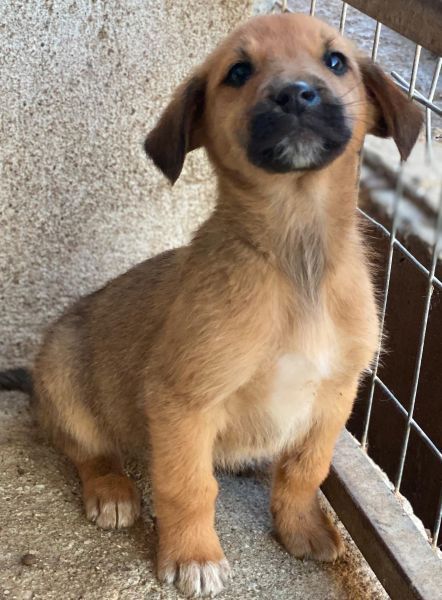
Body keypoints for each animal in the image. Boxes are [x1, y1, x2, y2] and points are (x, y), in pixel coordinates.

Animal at [0, 13, 422, 598]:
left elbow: (305, 469)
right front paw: (193, 556)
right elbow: (189, 487)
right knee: (84, 447)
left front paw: (301, 528)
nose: (297, 94)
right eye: (238, 72)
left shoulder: (336, 394)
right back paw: (111, 488)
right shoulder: (183, 400)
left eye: (336, 61)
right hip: (64, 376)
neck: (295, 261)